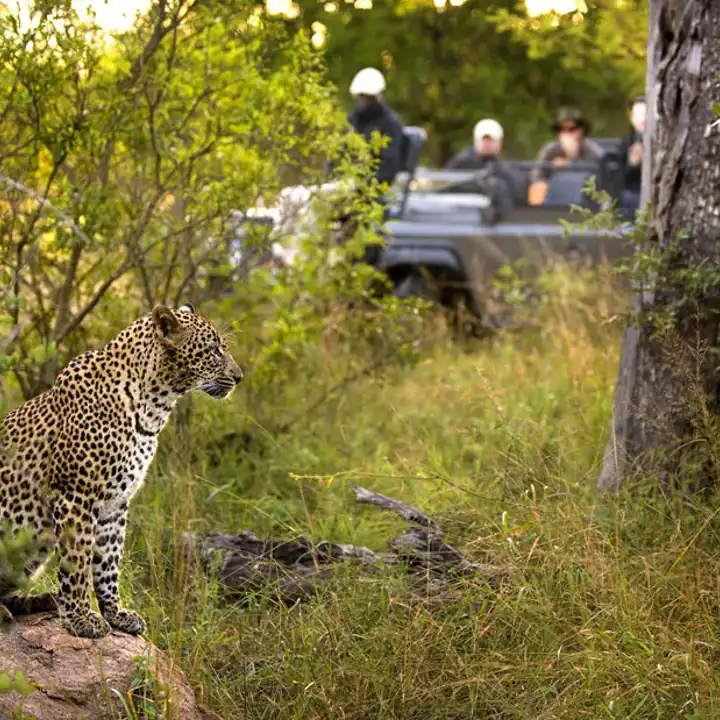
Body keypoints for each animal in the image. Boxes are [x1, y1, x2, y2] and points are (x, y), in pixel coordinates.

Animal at [0, 300, 245, 640]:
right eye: (213, 351)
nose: (239, 377)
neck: (154, 406)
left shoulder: (115, 504)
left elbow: (108, 562)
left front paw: (115, 614)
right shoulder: (77, 497)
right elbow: (77, 562)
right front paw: (81, 618)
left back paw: (41, 600)